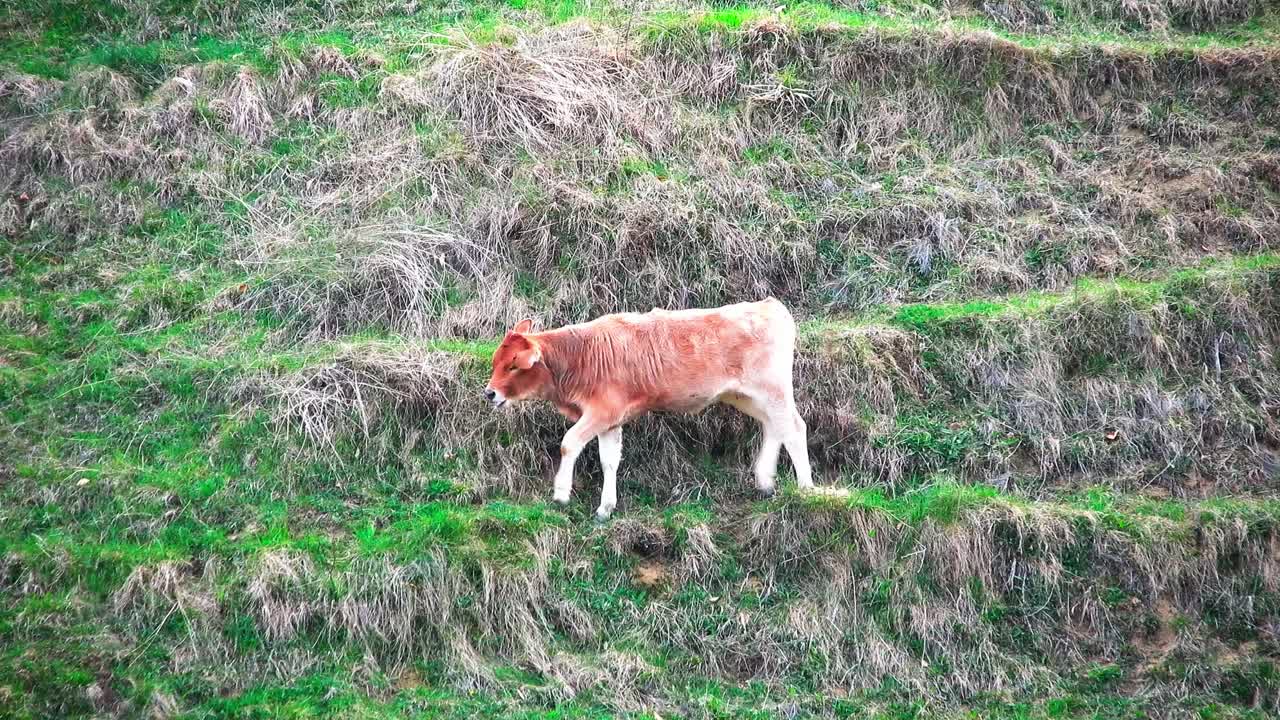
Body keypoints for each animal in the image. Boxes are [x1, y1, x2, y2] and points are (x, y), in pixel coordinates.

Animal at [484, 297, 813, 520]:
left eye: (514, 365)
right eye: (496, 361)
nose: (489, 392)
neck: (582, 355)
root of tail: (768, 305)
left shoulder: (601, 412)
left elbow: (569, 443)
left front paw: (562, 493)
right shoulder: (611, 420)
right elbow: (609, 460)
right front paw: (605, 507)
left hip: (773, 390)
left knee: (794, 428)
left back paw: (806, 488)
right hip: (746, 396)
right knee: (774, 427)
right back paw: (765, 481)